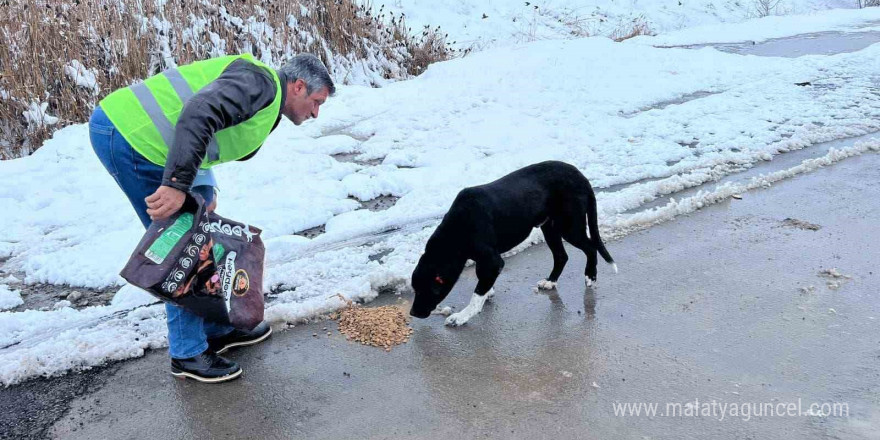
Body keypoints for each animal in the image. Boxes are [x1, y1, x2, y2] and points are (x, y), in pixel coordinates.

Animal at [410, 160, 616, 324]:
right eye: (415, 289)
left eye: (426, 291)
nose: (413, 313)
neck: (456, 232)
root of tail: (581, 176)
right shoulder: (485, 260)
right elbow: (482, 283)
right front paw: (488, 292)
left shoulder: (493, 261)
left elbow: (476, 295)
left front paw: (462, 316)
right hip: (550, 227)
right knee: (561, 256)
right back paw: (550, 282)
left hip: (569, 226)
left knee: (590, 248)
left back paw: (590, 277)